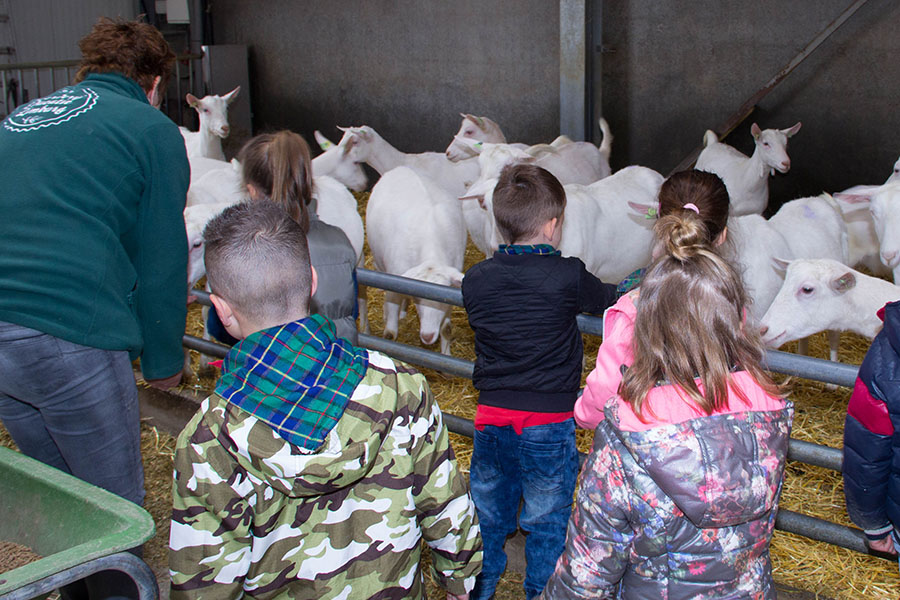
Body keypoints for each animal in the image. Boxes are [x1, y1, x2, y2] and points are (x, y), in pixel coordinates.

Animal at [366, 166, 464, 354]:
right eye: (418, 298)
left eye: (441, 300)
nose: (427, 336)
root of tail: (401, 168)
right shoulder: (394, 284)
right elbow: (390, 333)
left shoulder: (451, 291)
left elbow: (446, 330)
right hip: (379, 262)